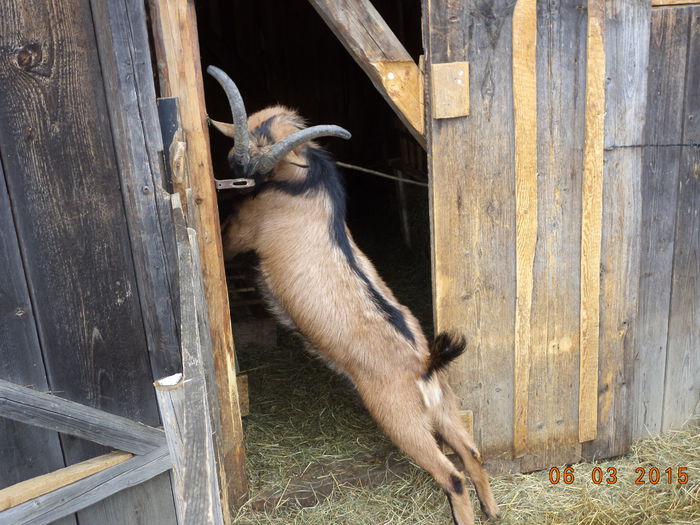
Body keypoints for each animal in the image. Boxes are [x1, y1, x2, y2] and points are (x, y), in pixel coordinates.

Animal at [205, 66, 500, 524]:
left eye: (263, 158)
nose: (238, 171)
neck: (307, 182)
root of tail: (425, 365)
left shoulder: (244, 230)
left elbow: (227, 239)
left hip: (399, 418)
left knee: (451, 475)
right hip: (446, 408)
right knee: (472, 453)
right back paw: (494, 511)